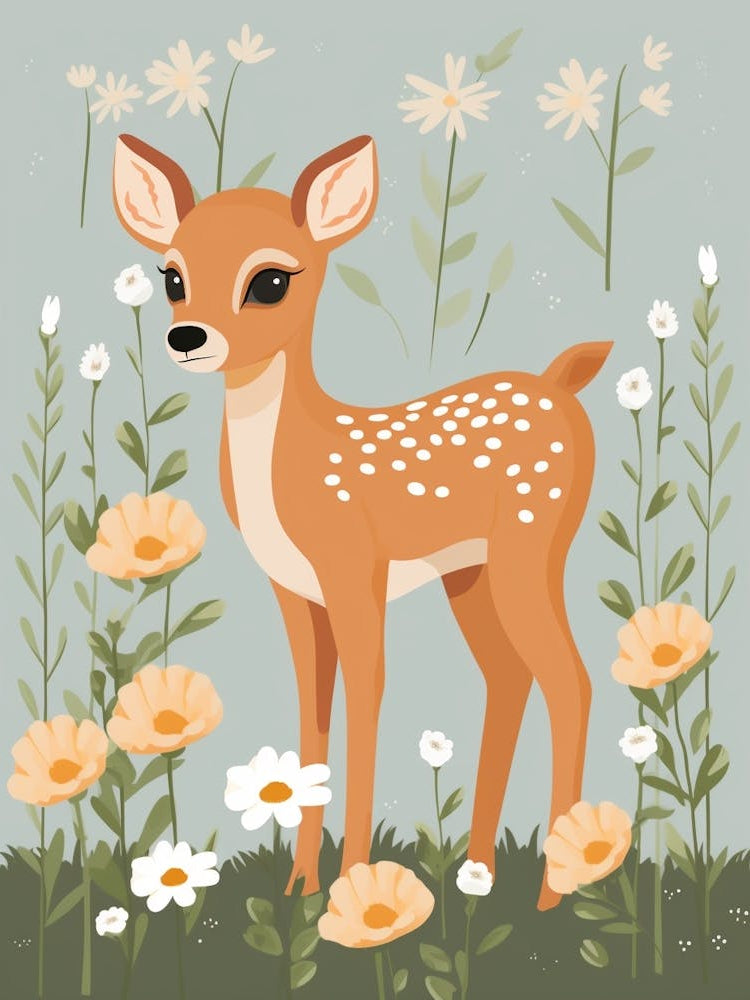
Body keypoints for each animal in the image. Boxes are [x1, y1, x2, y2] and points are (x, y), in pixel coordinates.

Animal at [112, 131, 612, 911]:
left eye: (271, 281)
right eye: (170, 275)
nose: (188, 336)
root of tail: (561, 384)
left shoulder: (355, 570)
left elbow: (368, 694)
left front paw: (349, 890)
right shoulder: (294, 591)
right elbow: (311, 712)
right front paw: (299, 886)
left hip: (533, 543)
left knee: (572, 681)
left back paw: (554, 892)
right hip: (470, 575)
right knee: (509, 679)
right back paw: (479, 874)